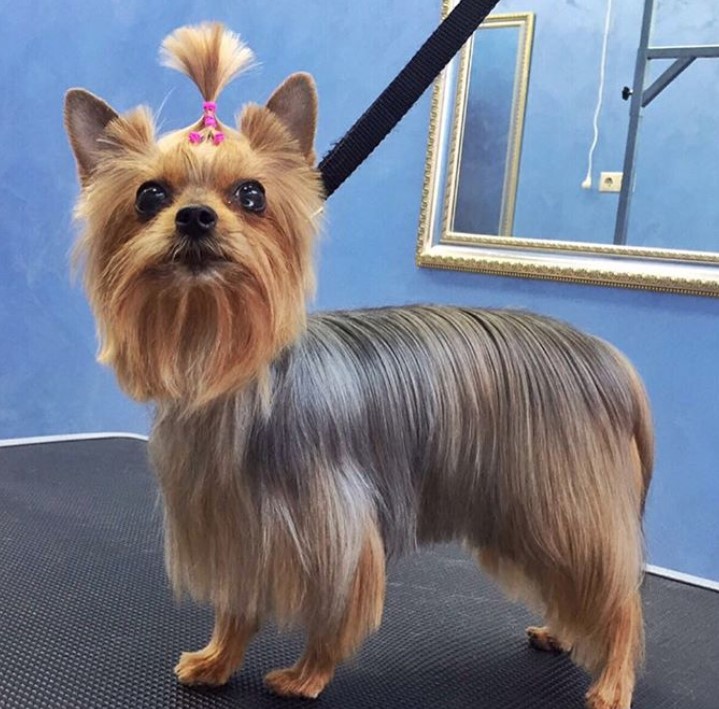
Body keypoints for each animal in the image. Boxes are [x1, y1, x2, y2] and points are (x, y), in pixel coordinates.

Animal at [64, 22, 656, 708]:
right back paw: (561, 633)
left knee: (617, 597)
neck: (228, 365)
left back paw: (612, 682)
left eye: (252, 194)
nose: (195, 216)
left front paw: (305, 675)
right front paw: (216, 660)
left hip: (562, 501)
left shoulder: (331, 530)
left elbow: (335, 606)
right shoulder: (235, 526)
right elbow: (236, 607)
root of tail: (608, 358)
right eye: (150, 195)